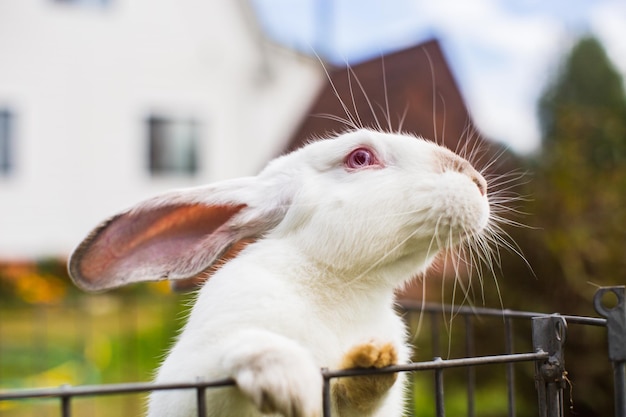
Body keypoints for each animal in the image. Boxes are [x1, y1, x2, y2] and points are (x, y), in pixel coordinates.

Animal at [67, 128, 488, 414]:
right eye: (360, 158)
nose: (477, 180)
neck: (342, 284)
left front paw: (373, 360)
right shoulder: (190, 380)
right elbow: (239, 348)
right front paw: (292, 385)